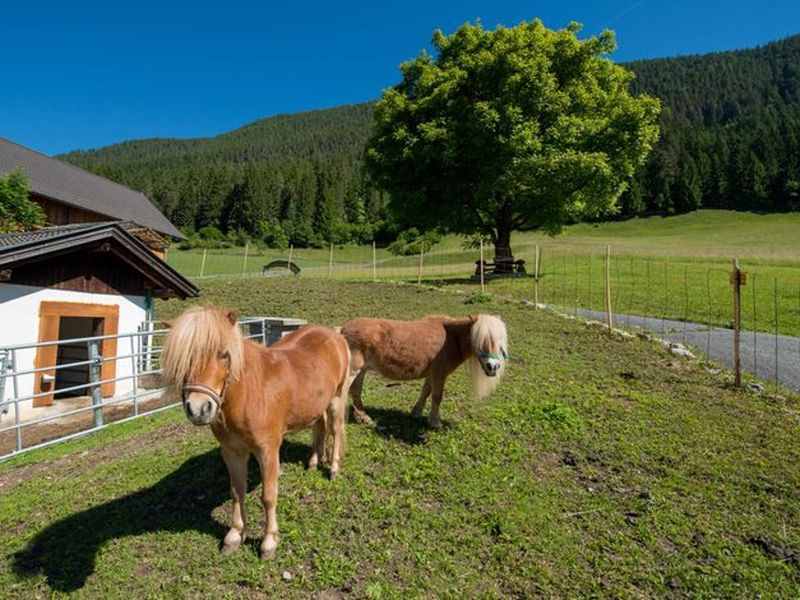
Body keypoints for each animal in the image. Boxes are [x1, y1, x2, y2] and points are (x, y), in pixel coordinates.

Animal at [160, 308, 350, 560]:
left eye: (224, 355)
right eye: (184, 357)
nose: (199, 409)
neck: (248, 393)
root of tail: (334, 334)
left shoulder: (267, 451)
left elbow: (268, 496)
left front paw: (269, 542)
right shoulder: (232, 452)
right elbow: (236, 491)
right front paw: (234, 535)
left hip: (337, 397)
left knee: (336, 430)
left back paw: (334, 469)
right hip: (317, 404)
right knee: (320, 427)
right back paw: (314, 461)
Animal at [342, 314, 506, 426]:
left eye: (500, 341)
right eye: (480, 340)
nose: (492, 366)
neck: (451, 338)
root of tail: (342, 330)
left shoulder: (431, 374)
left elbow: (426, 392)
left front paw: (417, 413)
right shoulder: (439, 374)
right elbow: (437, 397)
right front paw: (435, 422)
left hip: (361, 370)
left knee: (355, 391)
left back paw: (363, 417)